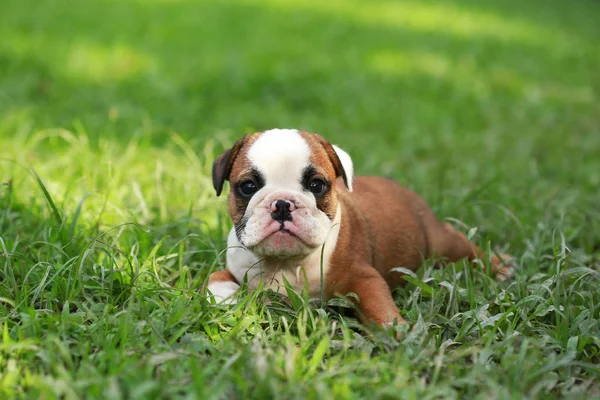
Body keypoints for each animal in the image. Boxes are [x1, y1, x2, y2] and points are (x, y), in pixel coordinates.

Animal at [207, 130, 516, 330]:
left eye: (316, 185)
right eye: (248, 187)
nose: (282, 204)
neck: (287, 263)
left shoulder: (363, 278)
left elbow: (378, 305)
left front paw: (396, 331)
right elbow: (215, 277)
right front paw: (225, 297)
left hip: (441, 243)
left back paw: (501, 267)